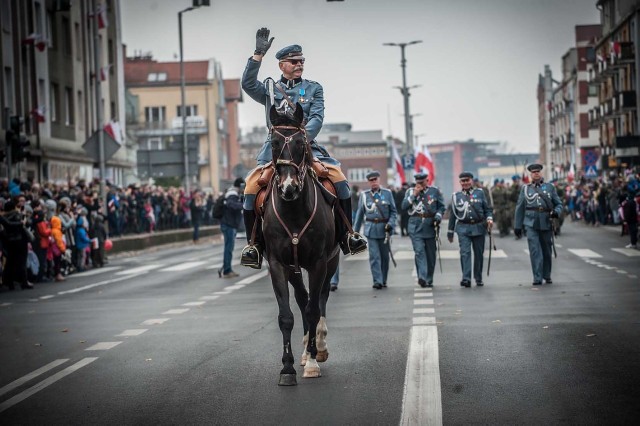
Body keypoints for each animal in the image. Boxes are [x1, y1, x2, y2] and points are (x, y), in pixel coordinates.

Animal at [262, 104, 340, 386]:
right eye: (273, 143)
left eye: (300, 143)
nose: (288, 188)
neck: (294, 209)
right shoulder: (278, 265)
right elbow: (287, 316)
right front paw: (288, 368)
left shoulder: (318, 263)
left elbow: (314, 309)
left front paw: (314, 362)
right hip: (295, 269)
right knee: (303, 297)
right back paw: (307, 349)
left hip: (331, 261)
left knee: (321, 298)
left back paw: (319, 346)